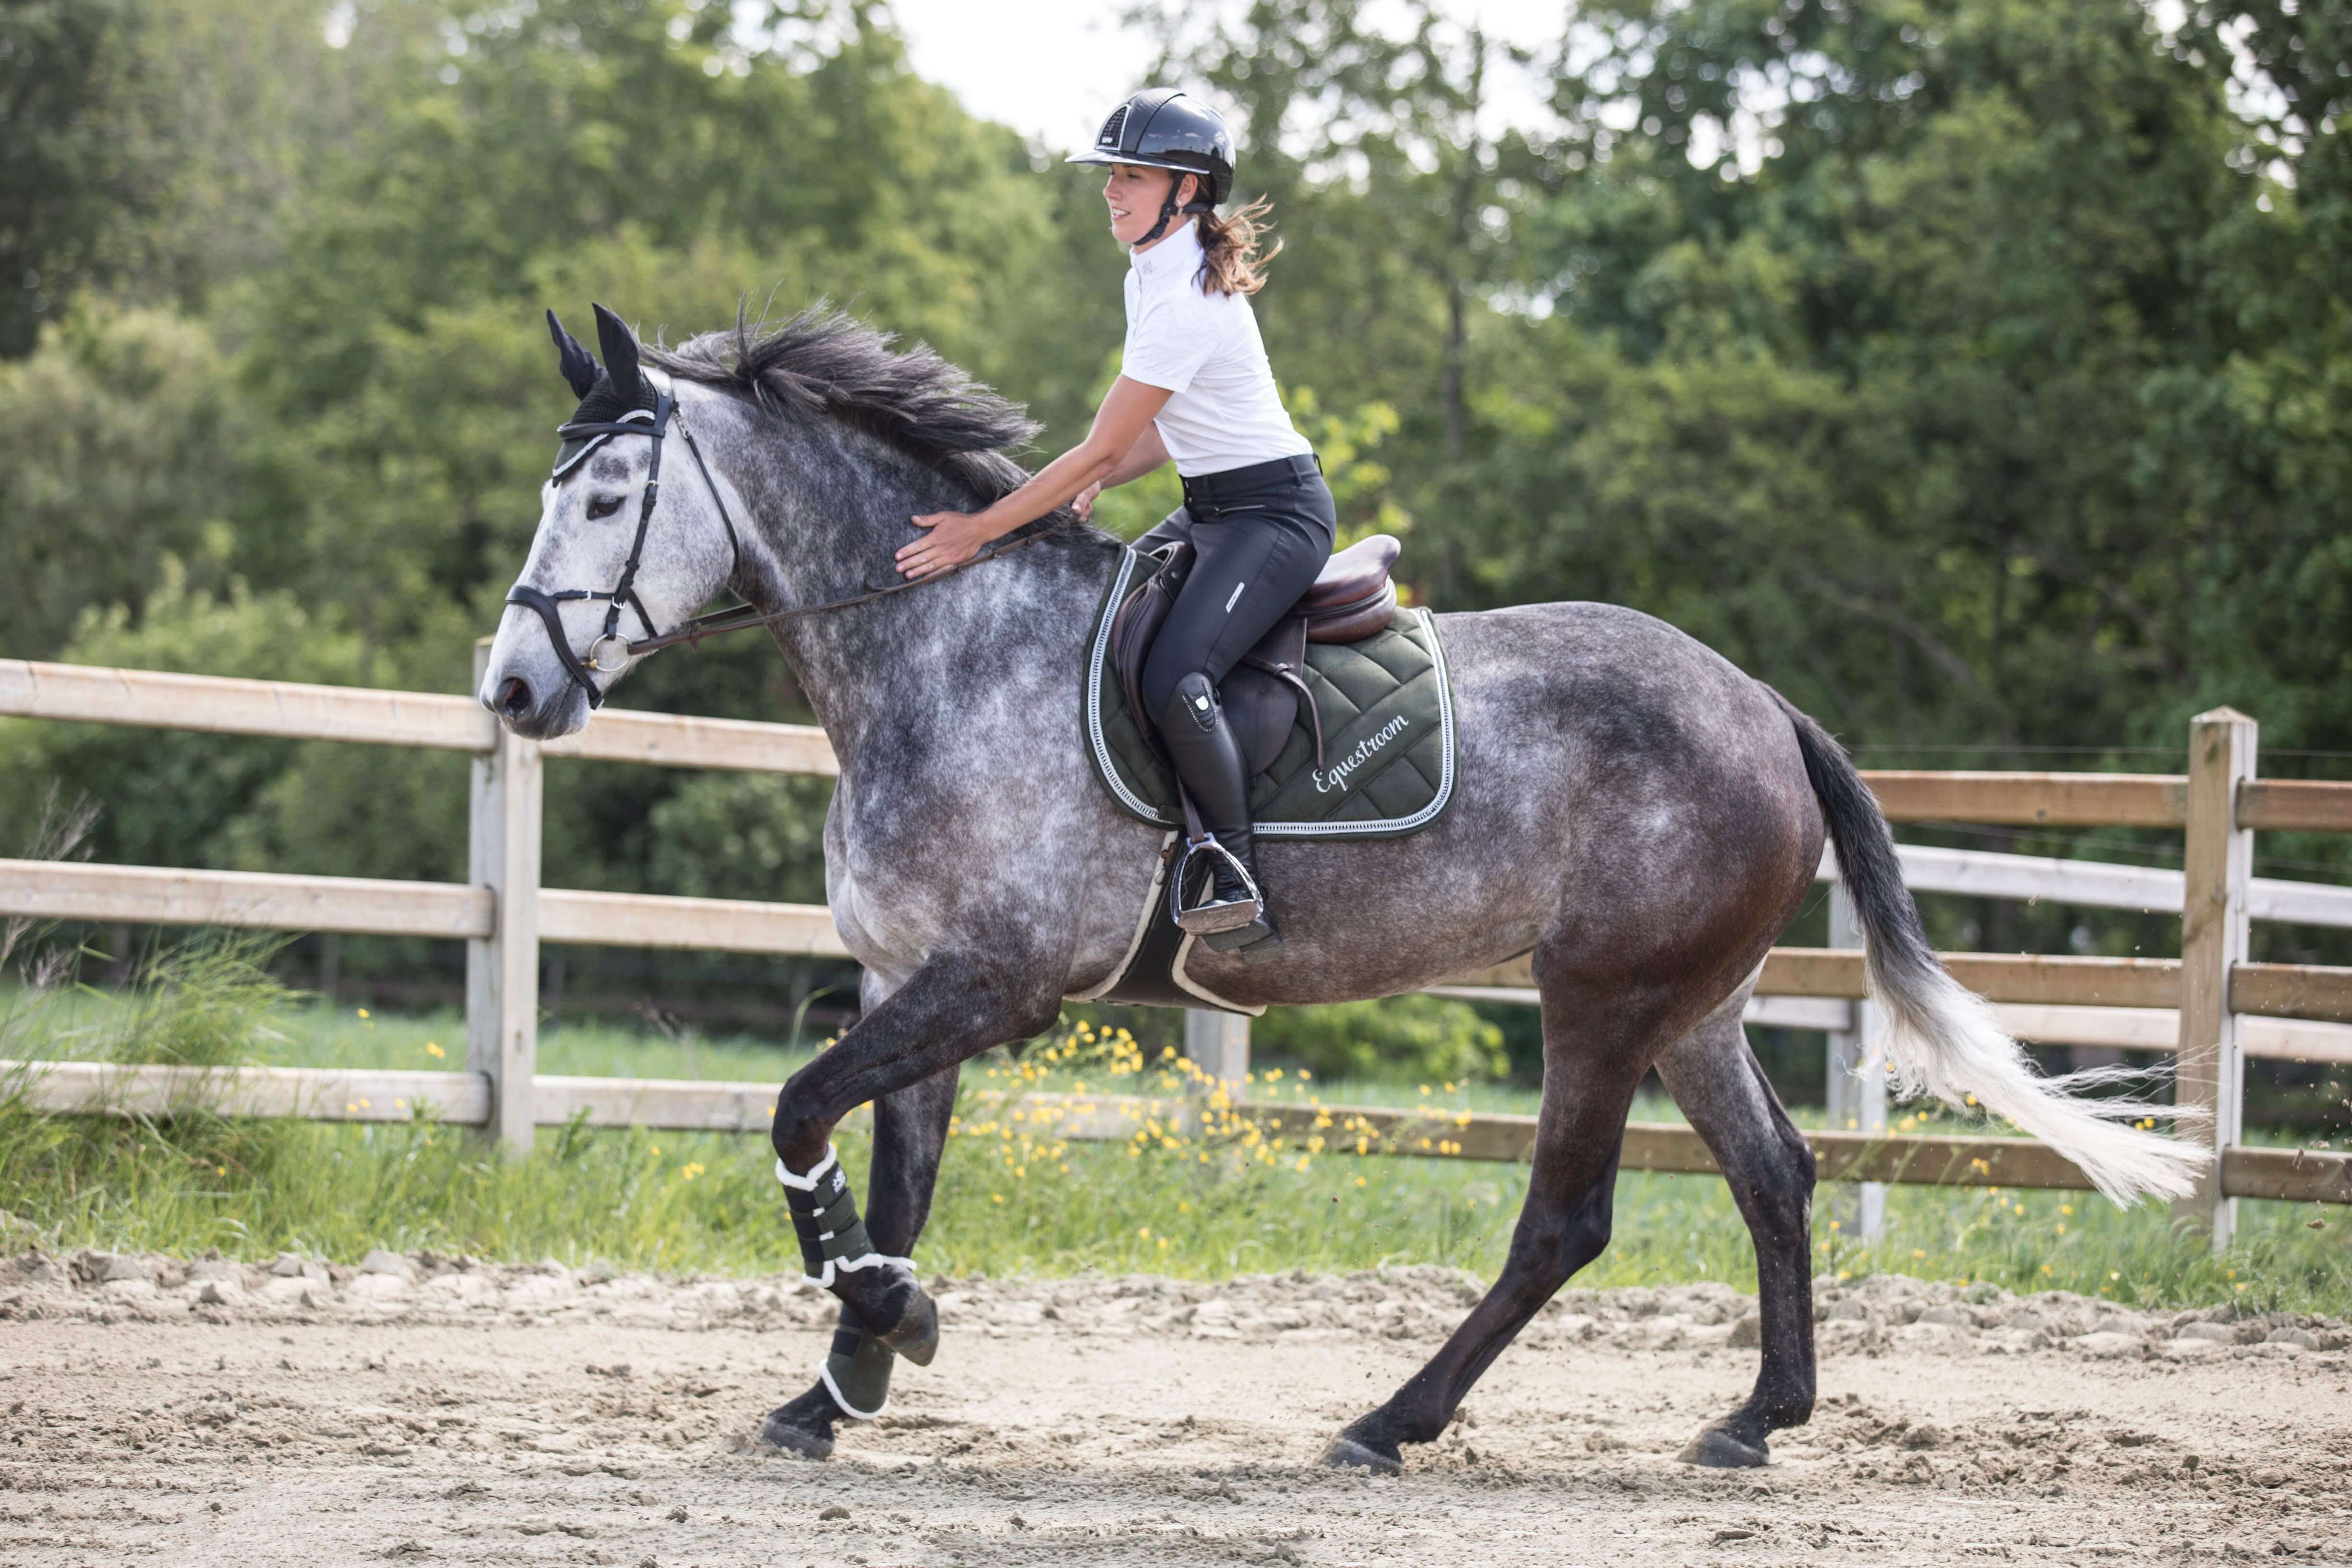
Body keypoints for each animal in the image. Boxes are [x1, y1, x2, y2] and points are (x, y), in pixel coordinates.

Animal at [477, 303, 2201, 1476]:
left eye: (607, 498)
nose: (509, 689)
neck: (940, 652)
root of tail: (1760, 702)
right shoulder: (915, 981)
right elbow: (883, 1175)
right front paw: (841, 1380)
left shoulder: (995, 983)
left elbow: (795, 1112)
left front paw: (888, 1334)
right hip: (1687, 1003)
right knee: (1772, 1175)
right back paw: (1753, 1420)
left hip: (1600, 998)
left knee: (1564, 1219)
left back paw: (1390, 1419)